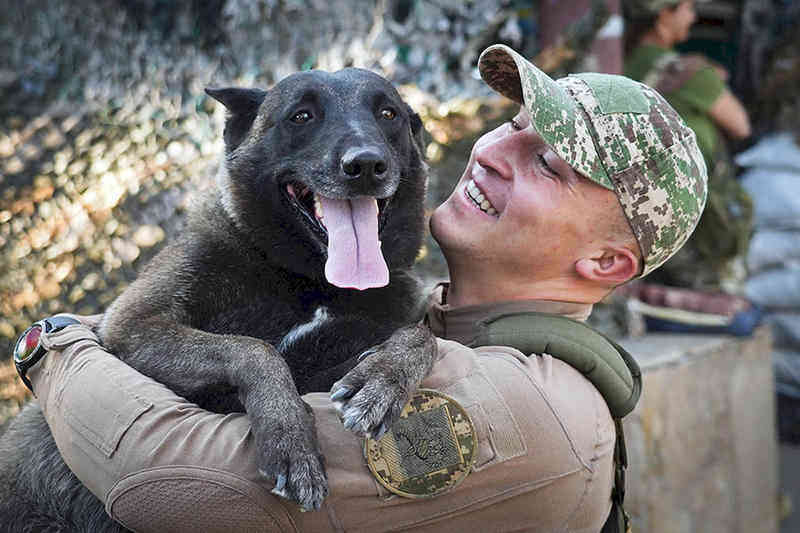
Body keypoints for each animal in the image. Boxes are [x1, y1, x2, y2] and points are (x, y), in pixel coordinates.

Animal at [0, 68, 438, 528]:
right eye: (301, 115)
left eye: (388, 114)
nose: (366, 164)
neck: (311, 282)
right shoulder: (133, 325)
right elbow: (255, 350)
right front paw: (289, 439)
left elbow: (422, 336)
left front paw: (382, 380)